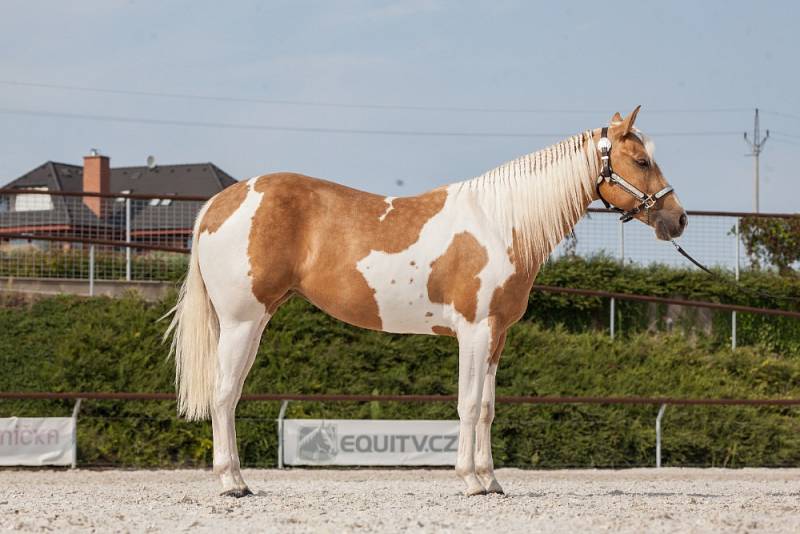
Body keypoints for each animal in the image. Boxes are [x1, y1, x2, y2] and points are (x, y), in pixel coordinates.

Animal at [167, 108, 688, 498]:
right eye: (641, 160)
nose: (678, 219)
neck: (501, 223)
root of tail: (217, 204)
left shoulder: (497, 337)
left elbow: (488, 408)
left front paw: (492, 481)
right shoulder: (474, 332)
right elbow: (467, 404)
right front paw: (471, 482)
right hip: (242, 322)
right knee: (224, 395)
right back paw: (233, 483)